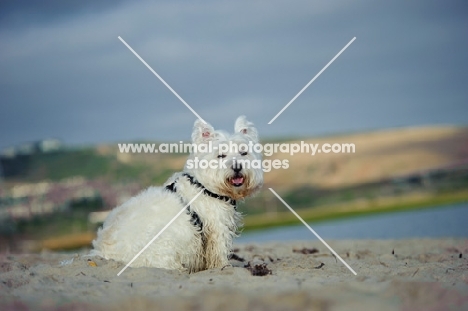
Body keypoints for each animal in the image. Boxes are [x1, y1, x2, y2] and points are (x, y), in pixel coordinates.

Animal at [89, 116, 262, 272]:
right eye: (221, 155)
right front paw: (223, 266)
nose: (237, 167)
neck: (204, 186)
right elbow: (219, 252)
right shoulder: (217, 228)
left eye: (243, 152)